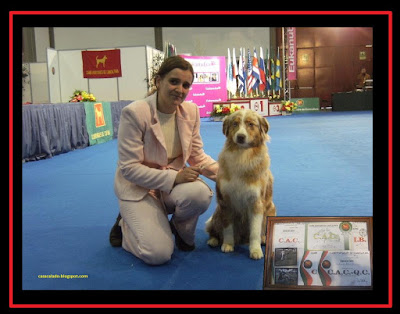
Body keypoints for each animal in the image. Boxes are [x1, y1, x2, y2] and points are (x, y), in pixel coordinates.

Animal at [206, 109, 276, 258]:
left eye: (250, 124)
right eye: (235, 124)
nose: (241, 137)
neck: (242, 156)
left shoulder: (256, 202)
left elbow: (255, 231)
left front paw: (255, 250)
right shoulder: (225, 201)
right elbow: (227, 229)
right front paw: (227, 245)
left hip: (271, 209)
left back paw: (263, 239)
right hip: (217, 212)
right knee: (213, 230)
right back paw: (214, 240)